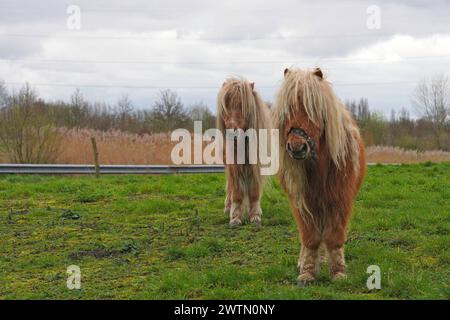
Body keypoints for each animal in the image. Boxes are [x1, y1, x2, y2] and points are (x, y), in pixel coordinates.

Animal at [217, 78, 272, 228]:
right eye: (225, 105)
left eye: (243, 105)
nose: (232, 133)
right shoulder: (234, 164)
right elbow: (236, 191)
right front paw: (235, 217)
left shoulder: (256, 165)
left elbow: (254, 191)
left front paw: (255, 216)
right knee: (230, 186)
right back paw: (227, 207)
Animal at [270, 67, 366, 282]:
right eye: (287, 110)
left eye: (313, 109)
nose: (296, 146)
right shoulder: (302, 203)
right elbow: (310, 238)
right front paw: (307, 272)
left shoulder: (340, 201)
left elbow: (334, 238)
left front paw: (338, 272)